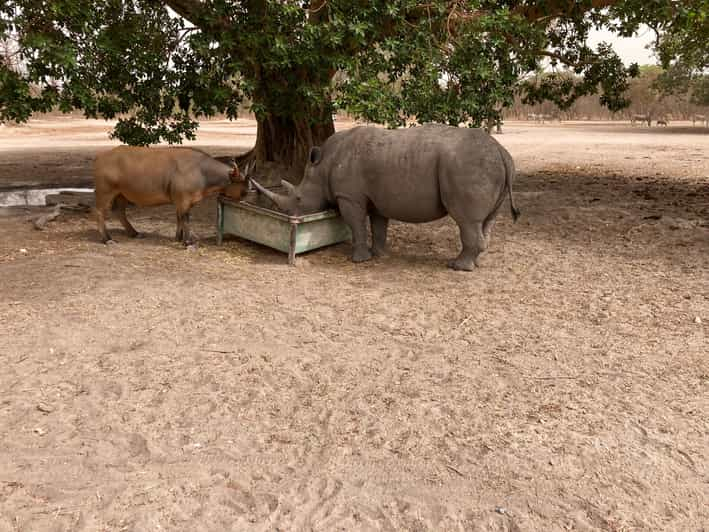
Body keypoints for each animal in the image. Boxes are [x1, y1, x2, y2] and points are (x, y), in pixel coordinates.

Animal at [252, 122, 516, 268]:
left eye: (298, 199)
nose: (290, 217)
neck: (323, 165)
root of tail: (501, 151)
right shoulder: (378, 198)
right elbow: (379, 225)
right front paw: (380, 255)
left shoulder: (349, 197)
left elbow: (357, 225)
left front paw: (359, 260)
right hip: (490, 166)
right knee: (486, 221)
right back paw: (476, 262)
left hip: (468, 166)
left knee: (466, 220)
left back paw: (457, 267)